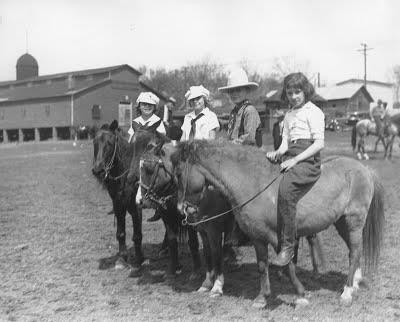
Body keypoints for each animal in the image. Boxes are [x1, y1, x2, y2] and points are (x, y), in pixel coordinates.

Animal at [166, 140, 384, 308]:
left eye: (178, 174)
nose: (182, 208)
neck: (254, 182)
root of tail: (364, 169)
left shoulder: (279, 238)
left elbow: (287, 267)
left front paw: (301, 295)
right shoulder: (257, 237)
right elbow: (262, 266)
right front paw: (262, 298)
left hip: (353, 221)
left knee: (354, 252)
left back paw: (347, 292)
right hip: (341, 223)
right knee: (354, 251)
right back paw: (354, 283)